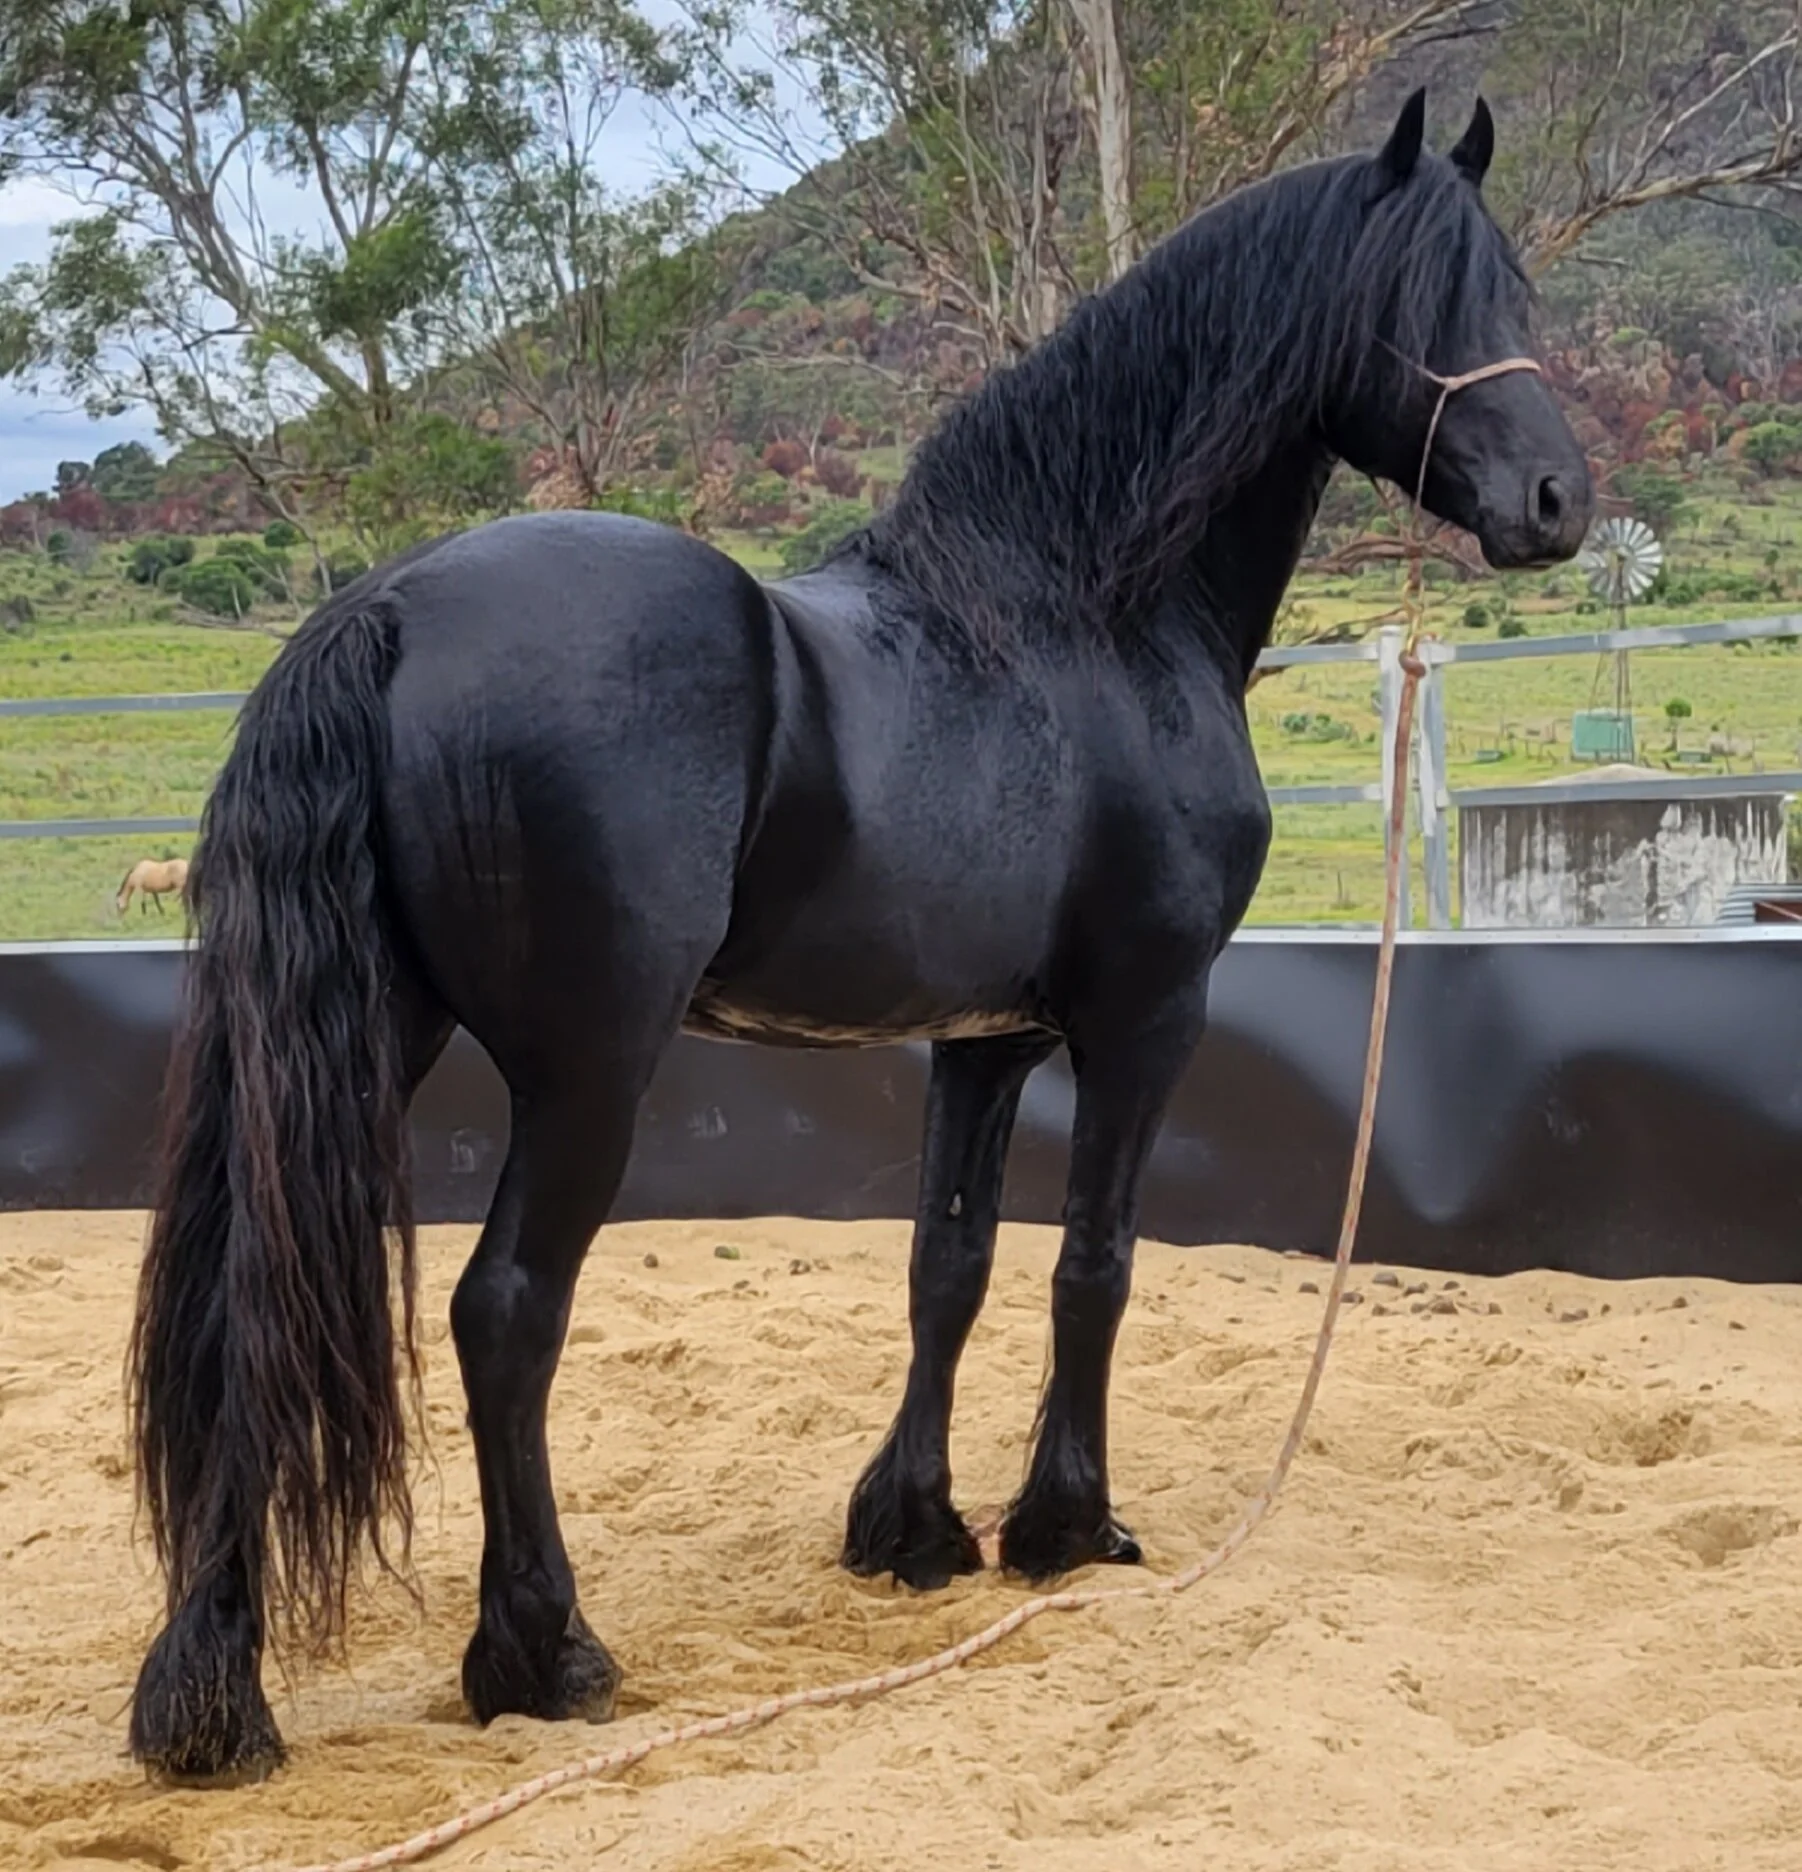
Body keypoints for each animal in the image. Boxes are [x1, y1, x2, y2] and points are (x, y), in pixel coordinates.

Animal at [126, 89, 1592, 1783]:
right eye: (1423, 298)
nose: (1558, 504)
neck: (1079, 620)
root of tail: (392, 608)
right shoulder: (1145, 1018)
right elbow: (1093, 1263)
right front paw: (1066, 1530)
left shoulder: (985, 1041)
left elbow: (945, 1265)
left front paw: (915, 1531)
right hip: (586, 1074)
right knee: (506, 1314)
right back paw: (544, 1654)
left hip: (364, 1038)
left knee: (253, 1308)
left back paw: (213, 1704)